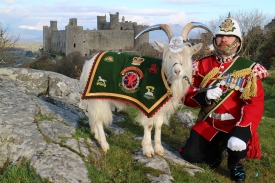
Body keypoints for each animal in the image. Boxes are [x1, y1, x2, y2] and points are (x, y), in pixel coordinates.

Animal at [80, 21, 213, 157]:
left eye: (187, 56)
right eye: (168, 56)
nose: (177, 71)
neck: (163, 76)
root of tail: (90, 61)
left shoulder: (160, 106)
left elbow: (159, 126)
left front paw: (159, 149)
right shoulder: (148, 104)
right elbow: (149, 125)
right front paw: (148, 150)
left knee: (93, 115)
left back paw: (95, 134)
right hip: (98, 95)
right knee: (99, 118)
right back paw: (104, 144)